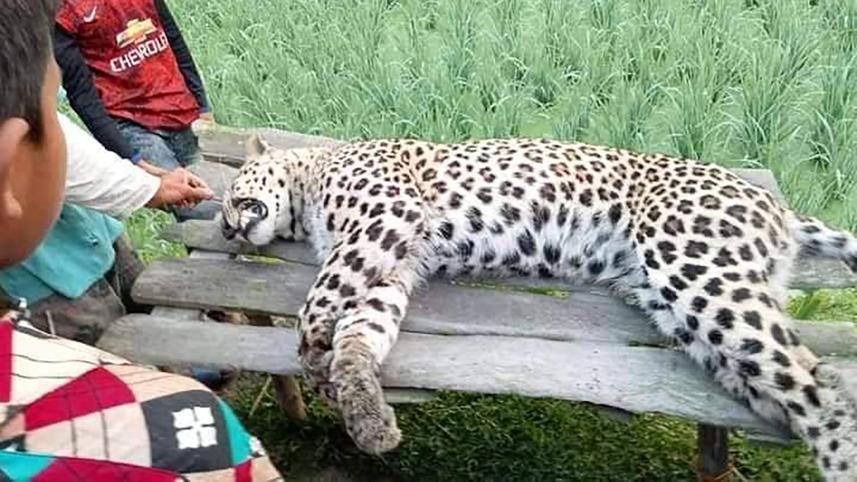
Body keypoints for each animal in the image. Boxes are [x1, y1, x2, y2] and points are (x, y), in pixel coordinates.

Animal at [220, 133, 857, 481]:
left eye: (232, 197)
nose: (227, 230)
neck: (309, 183)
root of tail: (775, 203)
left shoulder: (385, 220)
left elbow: (319, 300)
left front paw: (312, 356)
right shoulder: (392, 266)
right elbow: (359, 334)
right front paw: (367, 419)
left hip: (695, 269)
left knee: (821, 386)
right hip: (688, 315)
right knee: (789, 383)